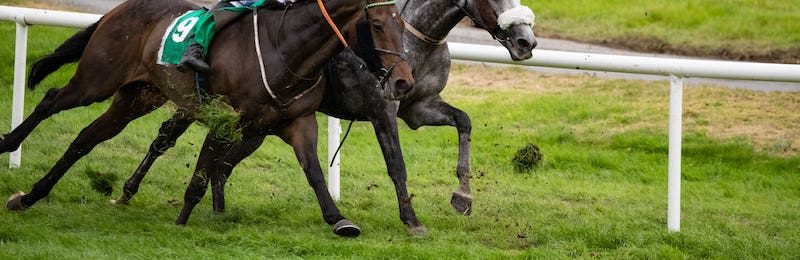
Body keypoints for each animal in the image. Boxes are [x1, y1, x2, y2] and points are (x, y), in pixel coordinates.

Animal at [0, 0, 412, 237]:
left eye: (402, 25)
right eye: (376, 25)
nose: (404, 81)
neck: (286, 48)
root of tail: (118, 9)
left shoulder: (296, 122)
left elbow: (313, 171)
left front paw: (338, 219)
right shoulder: (225, 119)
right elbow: (202, 171)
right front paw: (183, 220)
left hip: (135, 98)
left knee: (84, 139)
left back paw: (31, 196)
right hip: (97, 78)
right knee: (51, 100)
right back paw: (9, 144)